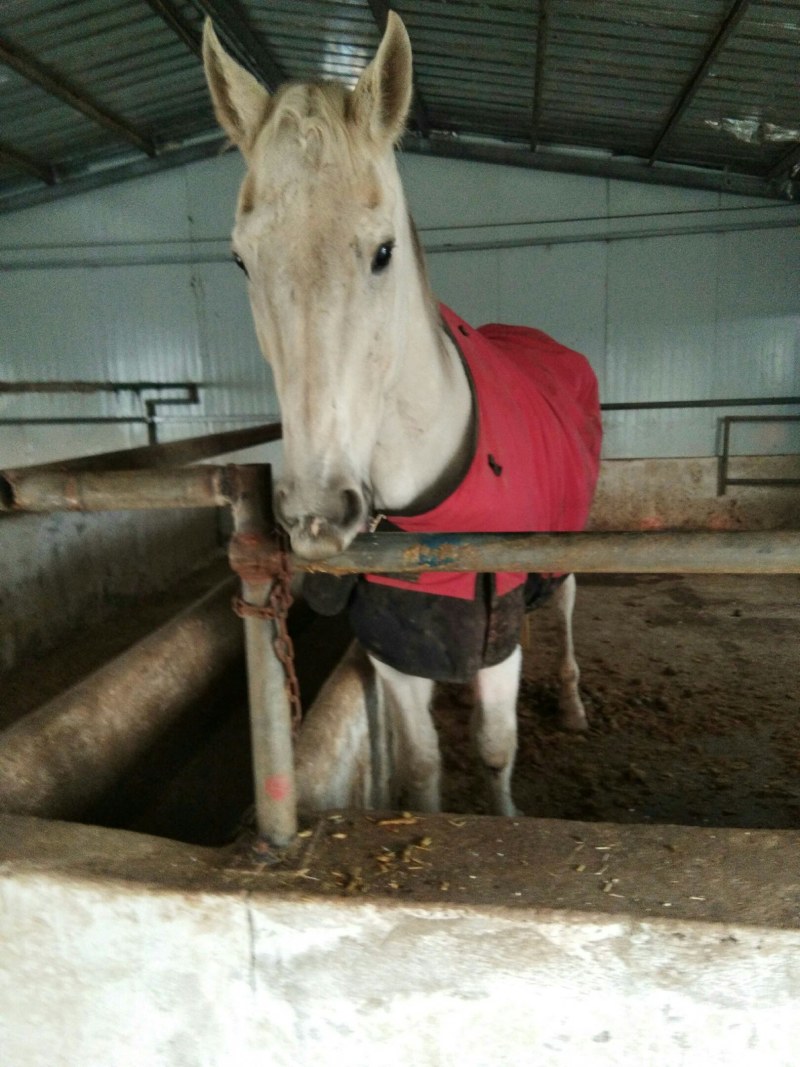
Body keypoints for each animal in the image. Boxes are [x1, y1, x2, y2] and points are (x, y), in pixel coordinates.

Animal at [203, 13, 602, 817]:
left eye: (383, 251)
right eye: (241, 260)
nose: (319, 514)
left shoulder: (500, 640)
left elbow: (495, 748)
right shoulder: (394, 652)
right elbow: (422, 763)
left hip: (566, 549)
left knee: (567, 607)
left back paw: (575, 704)